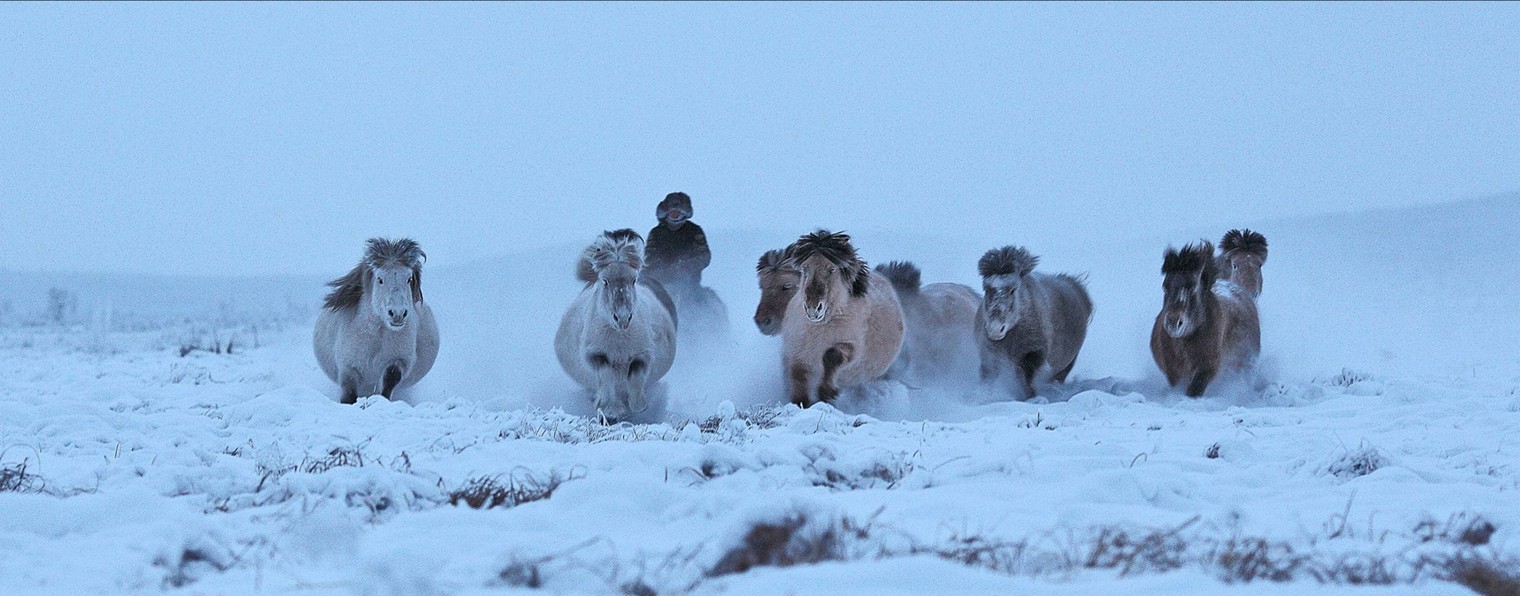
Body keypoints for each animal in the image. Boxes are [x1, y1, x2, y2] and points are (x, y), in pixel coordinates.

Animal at [313, 237, 440, 404]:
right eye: (380, 279)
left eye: (409, 278)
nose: (397, 313)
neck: (376, 337)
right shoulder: (348, 368)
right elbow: (349, 395)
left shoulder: (400, 360)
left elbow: (390, 379)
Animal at [553, 231, 677, 422]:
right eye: (605, 281)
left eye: (633, 280)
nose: (622, 318)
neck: (619, 339)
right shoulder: (594, 354)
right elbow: (605, 375)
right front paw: (610, 408)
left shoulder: (642, 354)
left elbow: (635, 376)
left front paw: (637, 405)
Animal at [784, 231, 899, 407]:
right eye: (804, 269)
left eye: (831, 269)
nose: (813, 308)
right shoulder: (798, 355)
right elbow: (798, 381)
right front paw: (801, 404)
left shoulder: (852, 347)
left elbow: (832, 357)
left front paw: (827, 392)